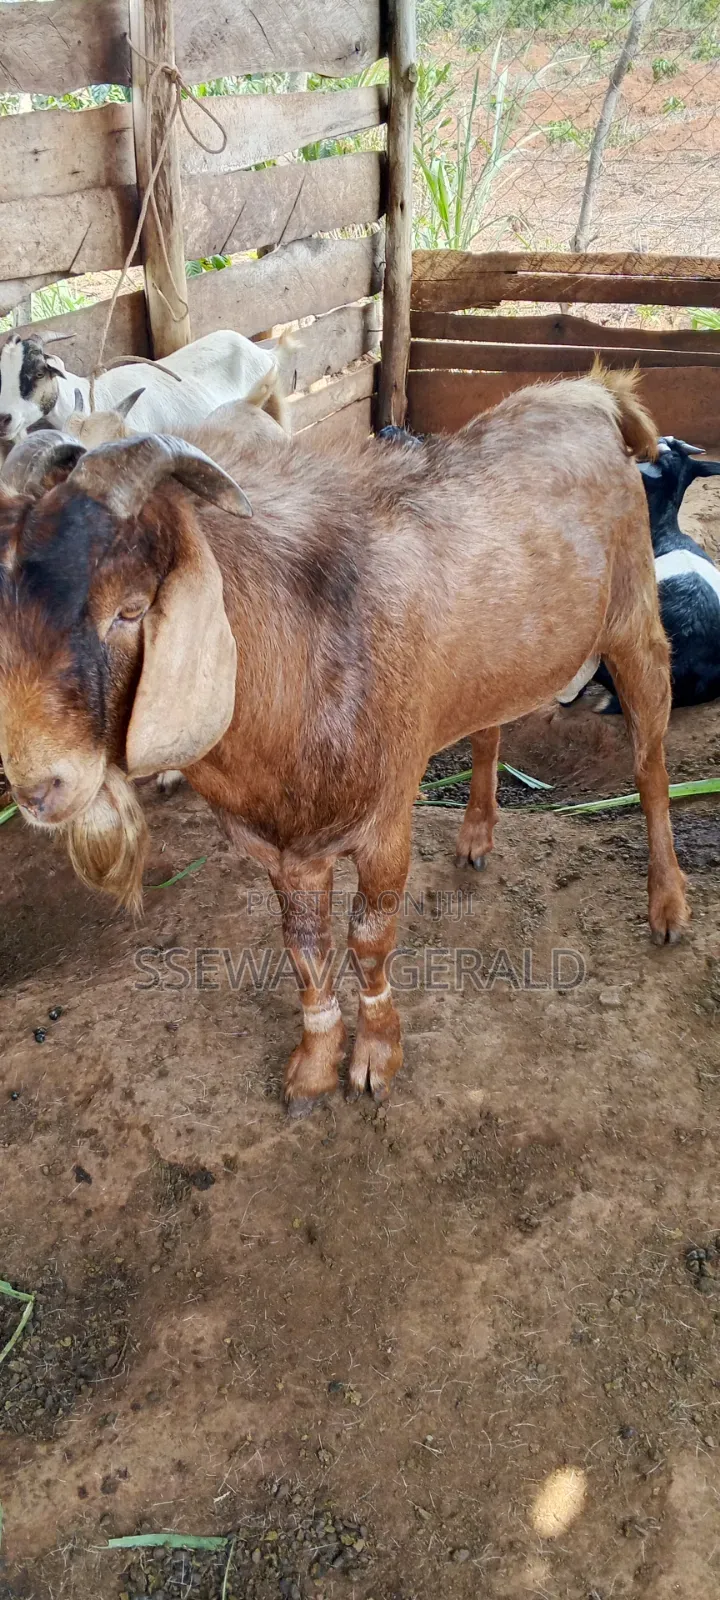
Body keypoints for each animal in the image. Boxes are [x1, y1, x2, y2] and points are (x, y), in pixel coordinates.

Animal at [0, 368, 689, 1117]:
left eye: (131, 609)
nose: (38, 787)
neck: (295, 654)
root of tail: (591, 393)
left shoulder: (384, 823)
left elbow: (368, 938)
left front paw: (376, 1059)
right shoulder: (285, 847)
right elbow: (305, 947)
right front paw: (313, 1068)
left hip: (635, 619)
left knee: (651, 765)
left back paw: (668, 905)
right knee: (488, 725)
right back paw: (476, 834)